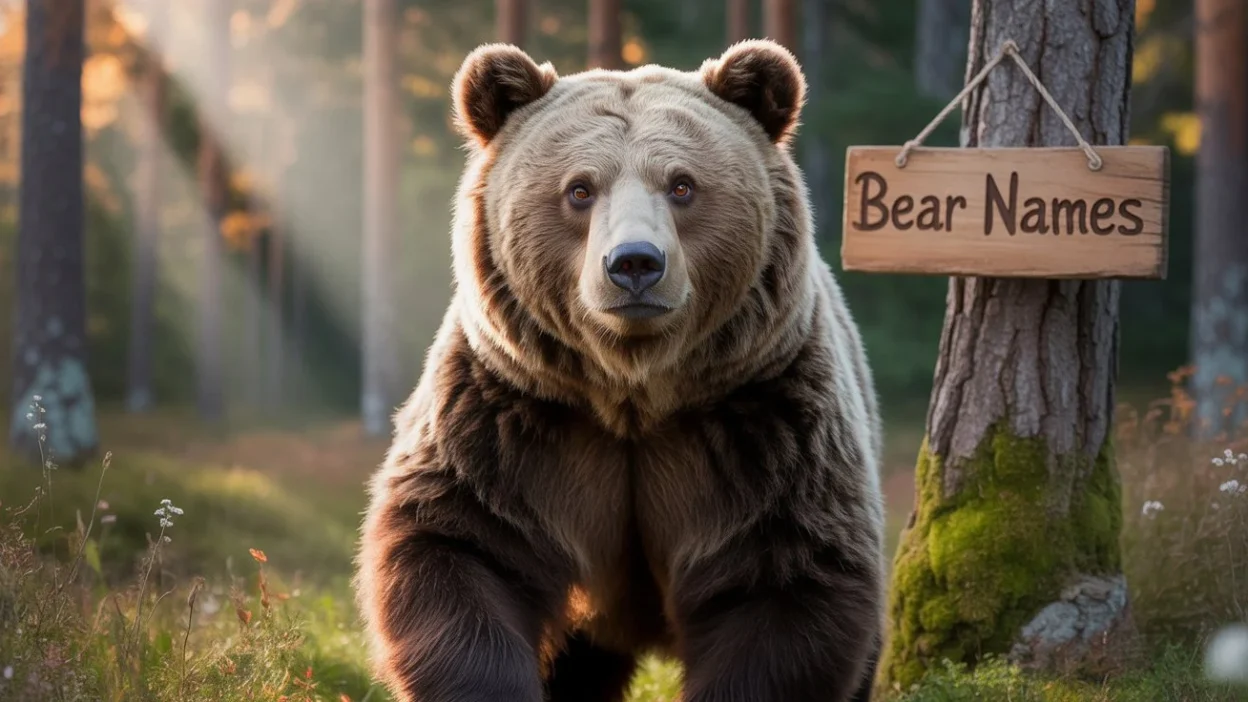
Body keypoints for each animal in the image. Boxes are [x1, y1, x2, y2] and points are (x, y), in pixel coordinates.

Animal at [353, 38, 886, 702]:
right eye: (580, 189)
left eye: (682, 185)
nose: (634, 263)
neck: (631, 390)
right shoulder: (511, 417)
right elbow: (458, 544)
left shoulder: (763, 424)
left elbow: (785, 580)